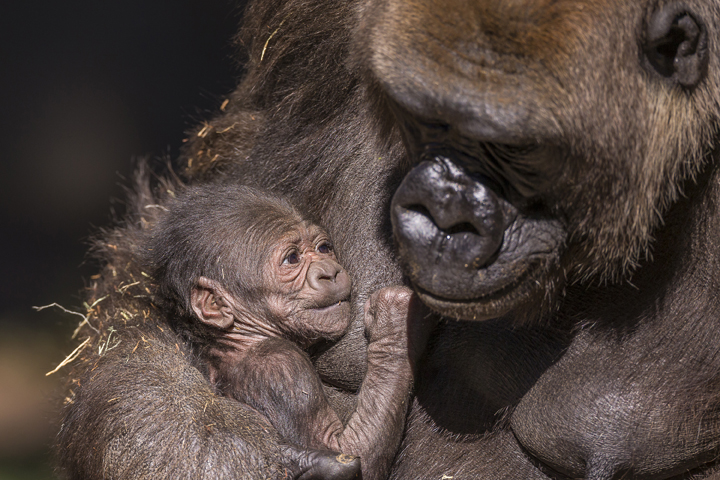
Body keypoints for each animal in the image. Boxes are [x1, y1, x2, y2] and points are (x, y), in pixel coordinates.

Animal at [146, 185, 410, 480]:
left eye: (324, 248)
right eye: (292, 258)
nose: (329, 273)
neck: (243, 337)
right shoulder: (281, 367)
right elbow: (346, 451)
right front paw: (394, 321)